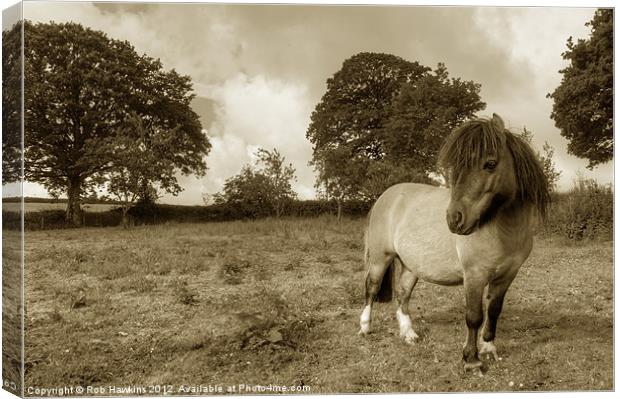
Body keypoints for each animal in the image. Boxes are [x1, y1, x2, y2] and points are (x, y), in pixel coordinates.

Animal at [356, 113, 548, 376]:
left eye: (490, 163)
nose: (454, 219)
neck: (503, 229)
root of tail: (385, 196)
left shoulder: (507, 275)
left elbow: (494, 310)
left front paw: (489, 348)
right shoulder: (474, 275)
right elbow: (474, 316)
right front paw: (472, 360)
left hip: (411, 265)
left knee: (402, 293)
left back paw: (408, 334)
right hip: (380, 258)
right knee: (372, 289)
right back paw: (365, 327)